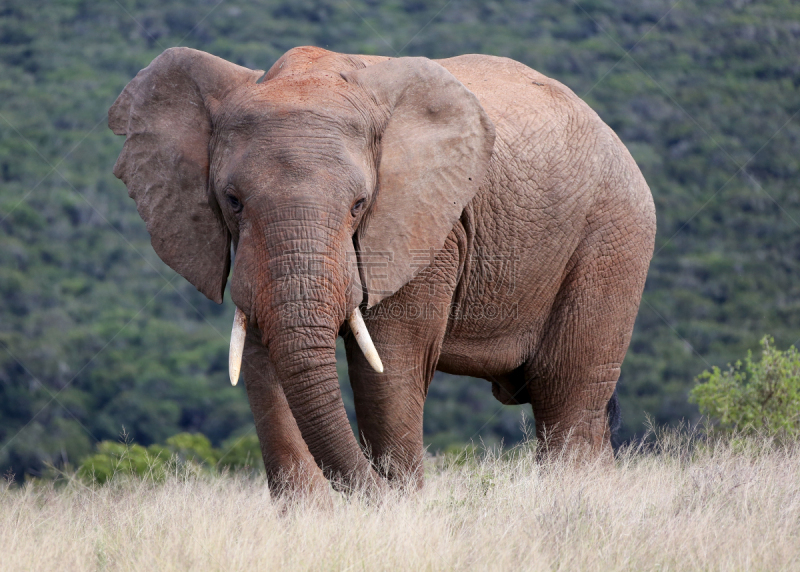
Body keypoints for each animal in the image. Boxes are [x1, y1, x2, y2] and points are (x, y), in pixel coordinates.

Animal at [108, 45, 656, 496]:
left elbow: (390, 367)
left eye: (359, 205)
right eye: (232, 201)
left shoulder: (429, 228)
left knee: (567, 398)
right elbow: (264, 364)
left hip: (614, 238)